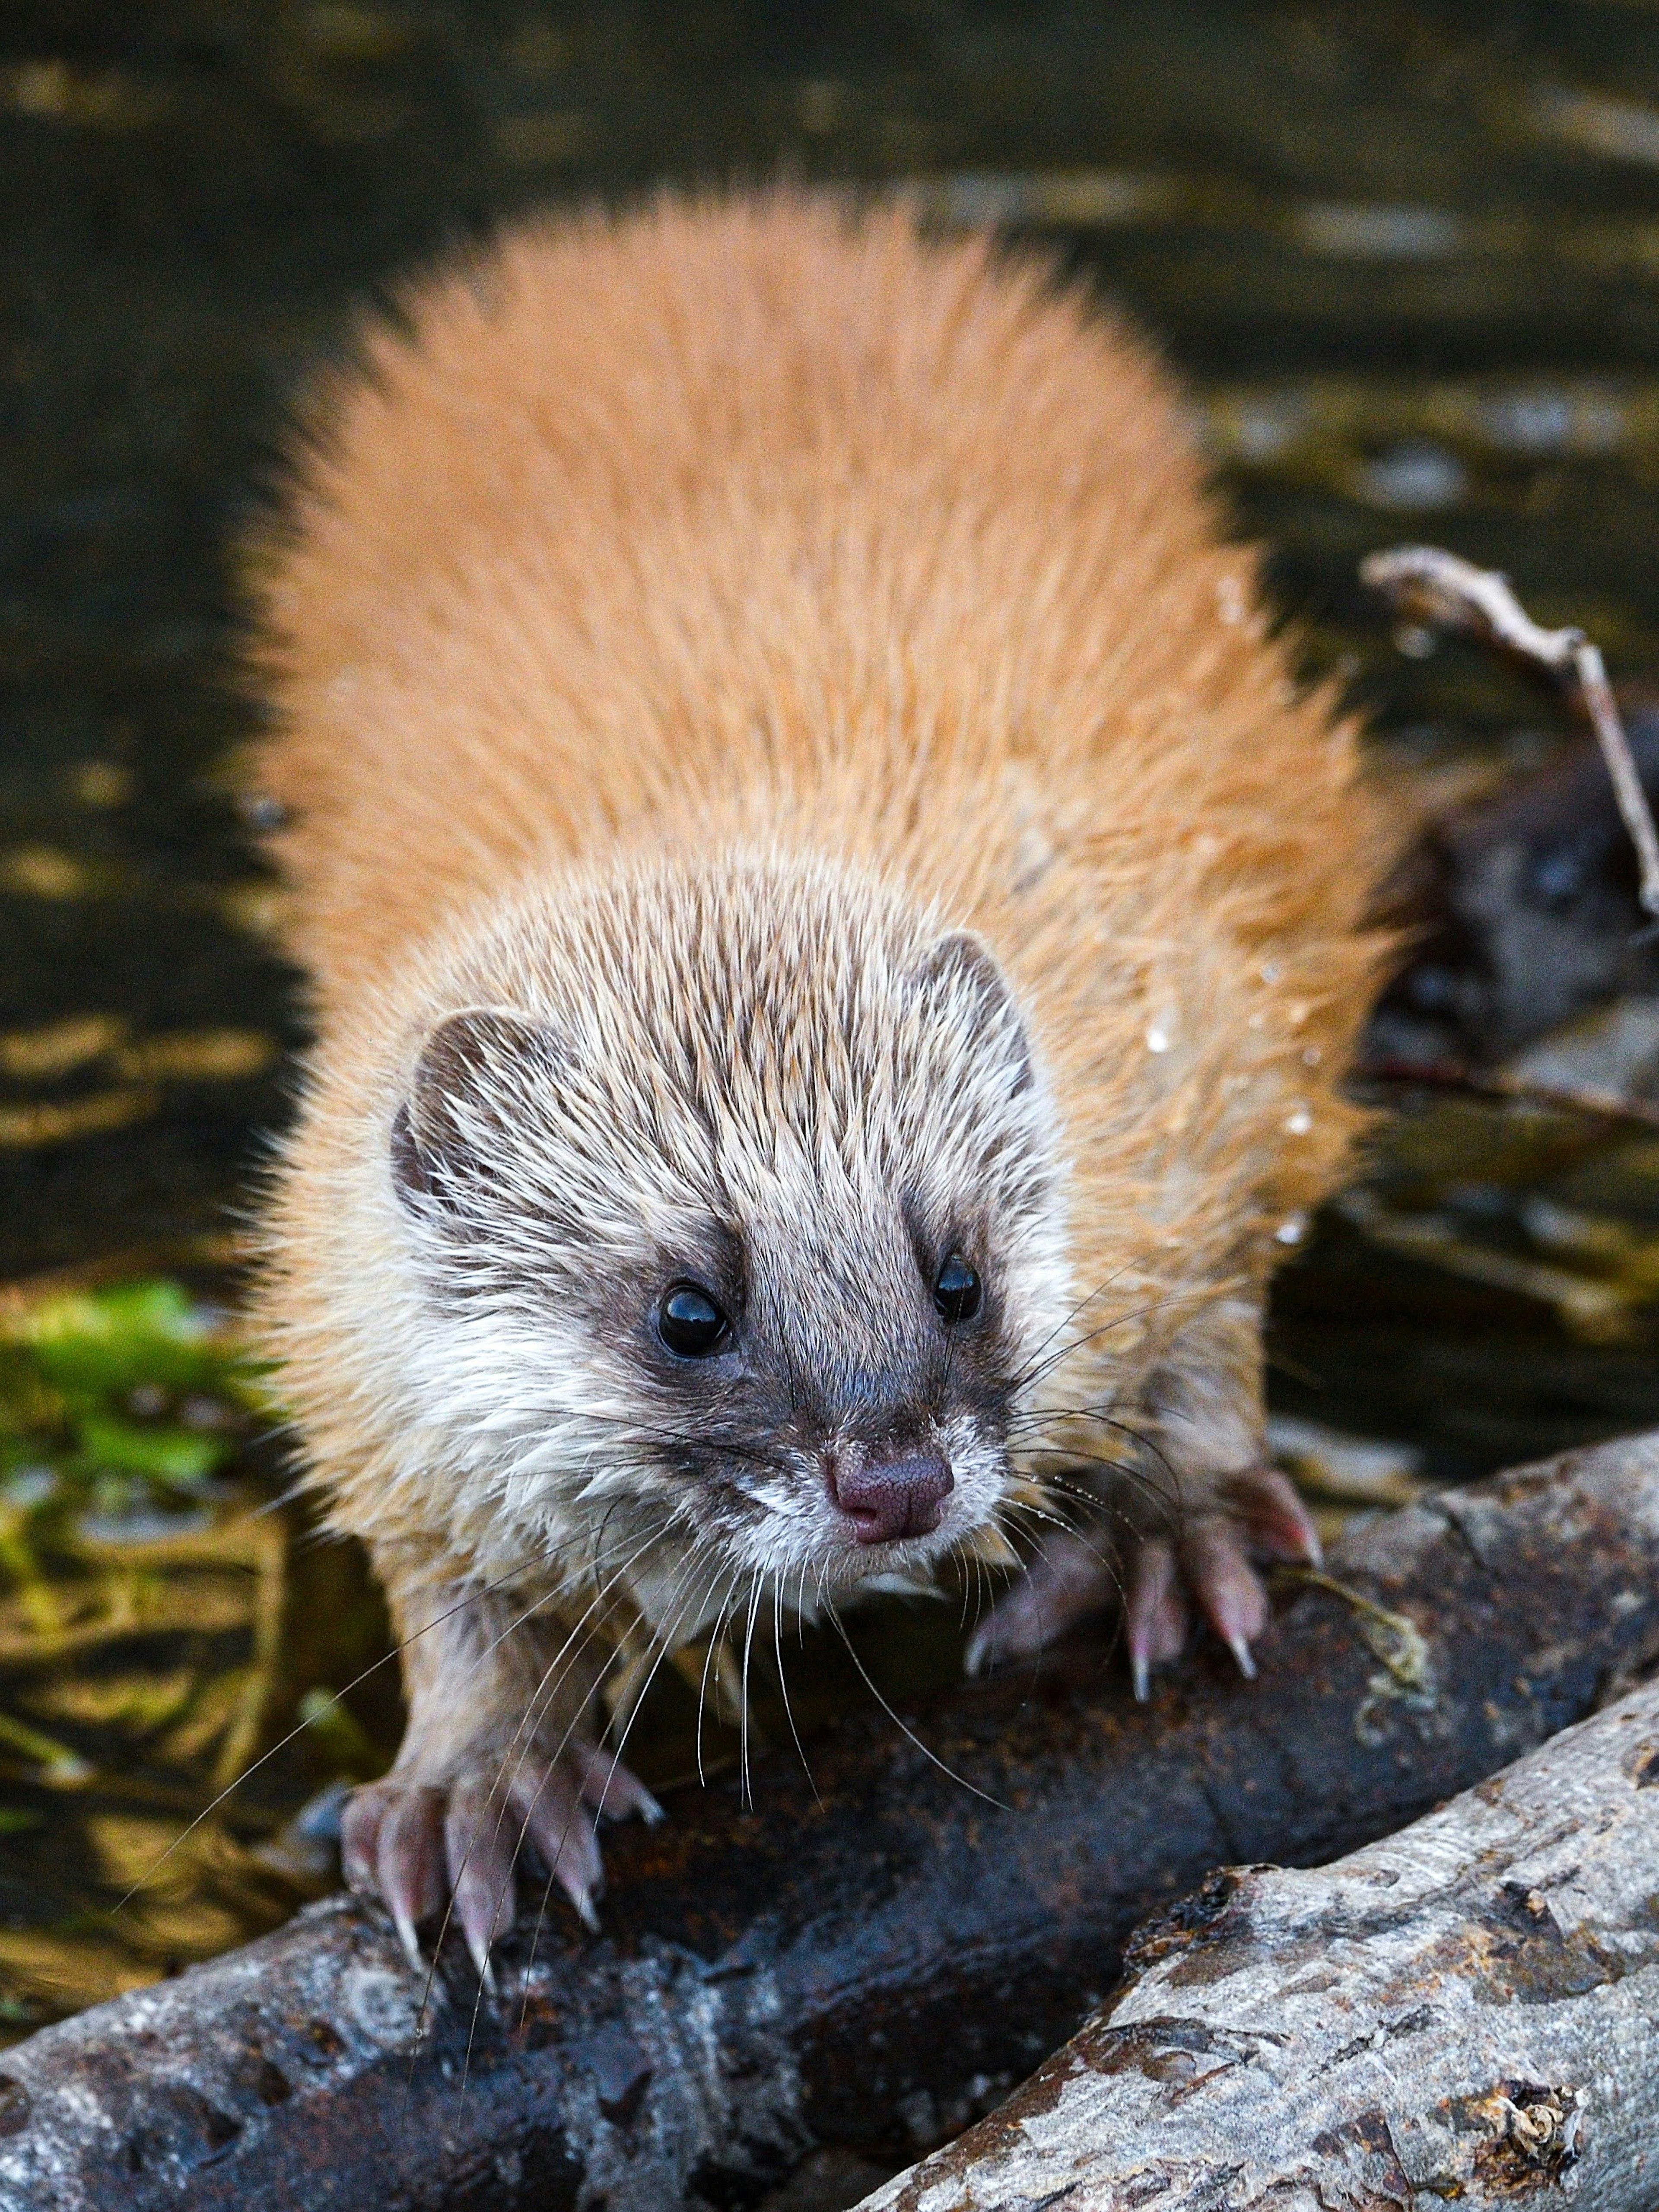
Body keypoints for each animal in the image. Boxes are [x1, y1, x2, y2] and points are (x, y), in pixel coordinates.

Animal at [250, 194, 1389, 1973]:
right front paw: (474, 1787)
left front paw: (1173, 1534)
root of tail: (724, 221)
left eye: (960, 1268)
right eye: (685, 1307)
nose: (897, 1479)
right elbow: (448, 1579)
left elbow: (1211, 1327)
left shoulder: (1208, 1046)